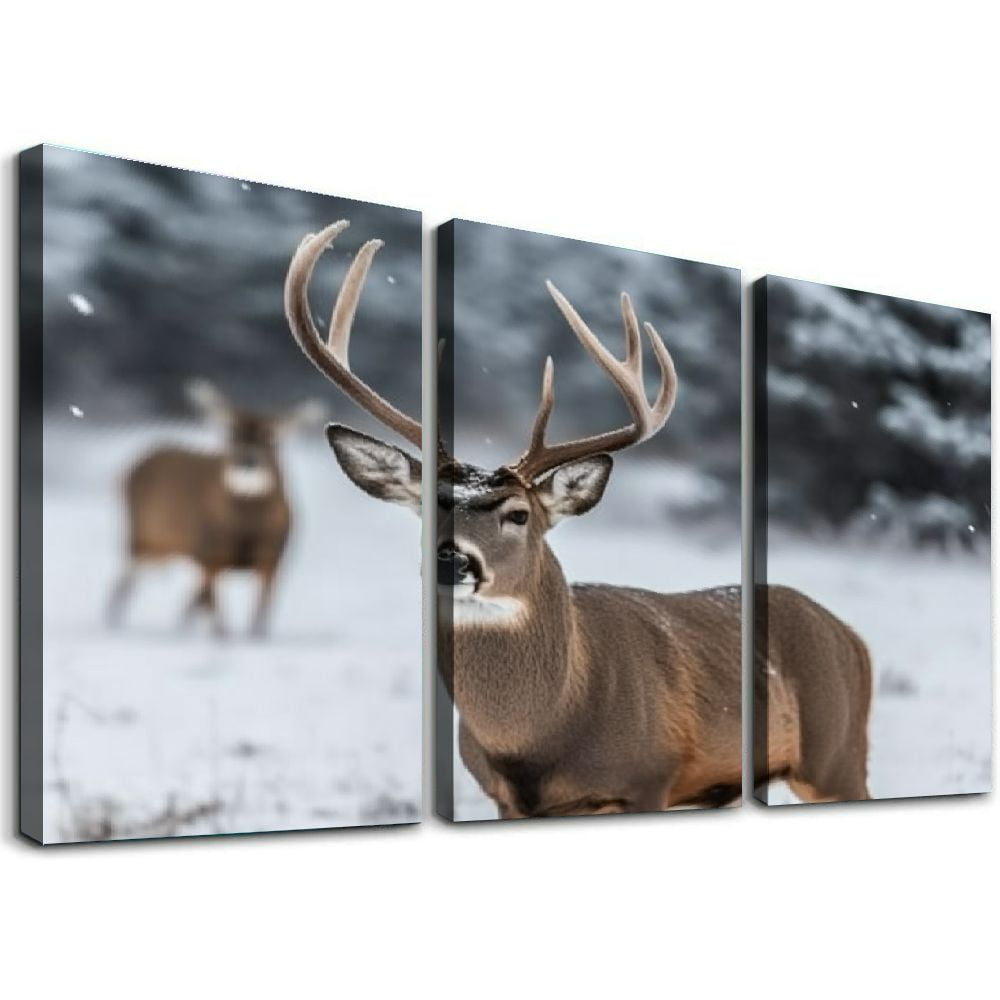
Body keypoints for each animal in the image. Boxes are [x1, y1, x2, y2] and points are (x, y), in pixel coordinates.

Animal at [106, 381, 322, 637]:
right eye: (231, 433)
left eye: (271, 437)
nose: (247, 461)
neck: (245, 532)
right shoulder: (211, 554)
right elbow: (220, 624)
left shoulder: (273, 558)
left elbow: (258, 620)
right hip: (142, 538)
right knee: (127, 581)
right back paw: (113, 620)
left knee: (187, 598)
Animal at [283, 218, 872, 817]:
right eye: (433, 507)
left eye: (519, 514)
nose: (455, 561)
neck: (538, 740)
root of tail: (850, 635)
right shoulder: (505, 800)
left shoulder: (648, 781)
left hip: (836, 753)